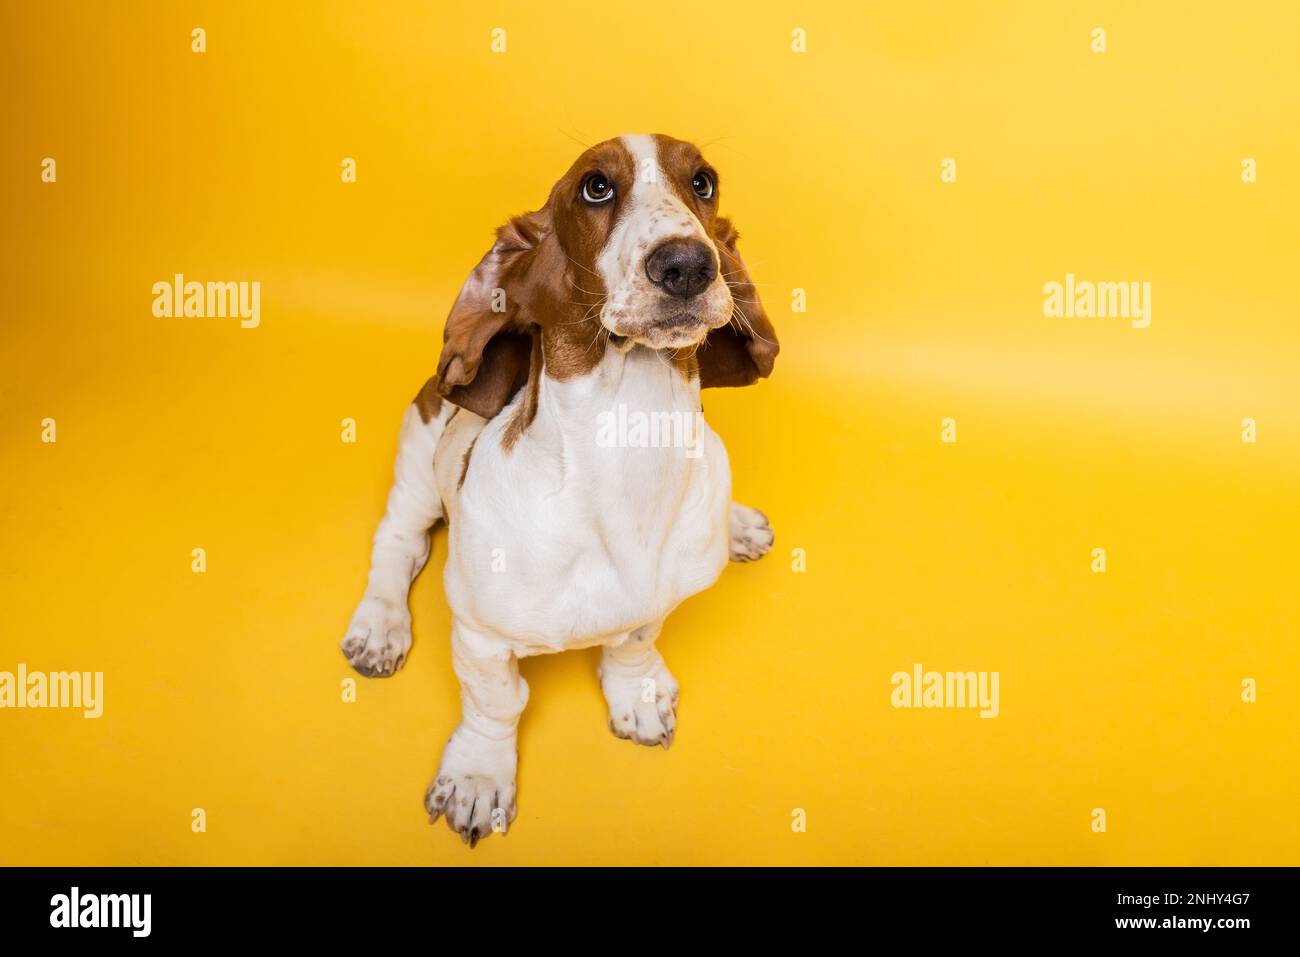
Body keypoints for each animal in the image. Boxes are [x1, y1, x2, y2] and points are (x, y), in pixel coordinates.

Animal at [340, 134, 774, 842]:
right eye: (595, 187)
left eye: (703, 182)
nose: (687, 265)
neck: (631, 437)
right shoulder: (481, 637)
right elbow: (496, 705)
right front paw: (479, 776)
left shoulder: (649, 607)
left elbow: (631, 647)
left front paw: (637, 696)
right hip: (418, 465)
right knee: (398, 543)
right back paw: (380, 626)